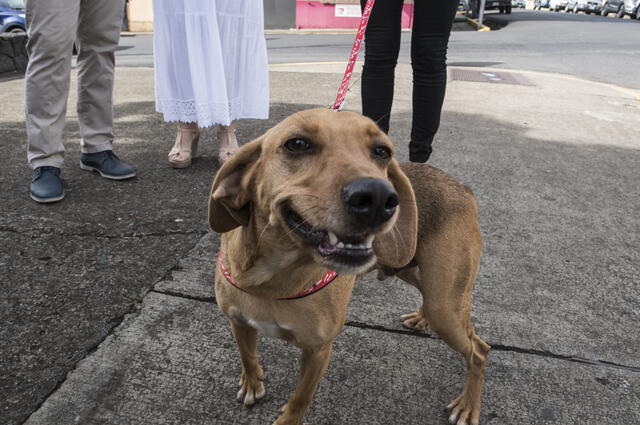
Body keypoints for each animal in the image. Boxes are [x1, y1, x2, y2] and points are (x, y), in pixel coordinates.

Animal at [210, 107, 490, 422]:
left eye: (382, 151)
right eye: (297, 144)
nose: (378, 198)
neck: (272, 280)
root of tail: (463, 188)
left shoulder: (318, 350)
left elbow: (300, 398)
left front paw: (287, 417)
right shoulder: (239, 322)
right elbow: (247, 356)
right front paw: (252, 383)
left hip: (445, 306)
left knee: (479, 350)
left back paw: (468, 406)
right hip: (413, 272)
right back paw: (421, 317)